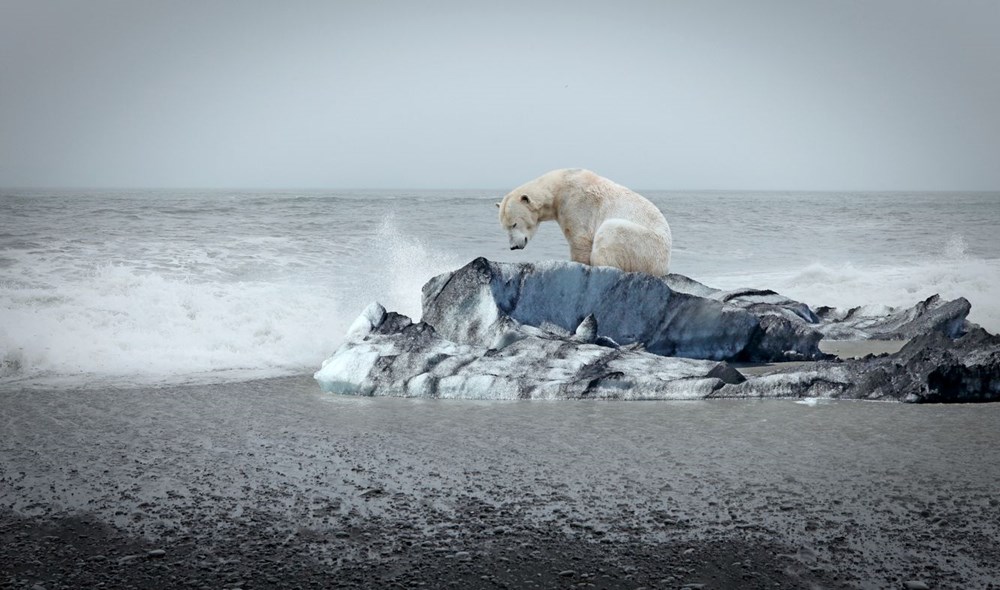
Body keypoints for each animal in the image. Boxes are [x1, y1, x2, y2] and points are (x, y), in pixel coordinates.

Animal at [498, 169, 672, 276]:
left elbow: (579, 241)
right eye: (505, 227)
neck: (559, 187)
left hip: (645, 245)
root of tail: (664, 266)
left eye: (514, 224)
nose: (513, 247)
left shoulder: (577, 205)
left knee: (610, 232)